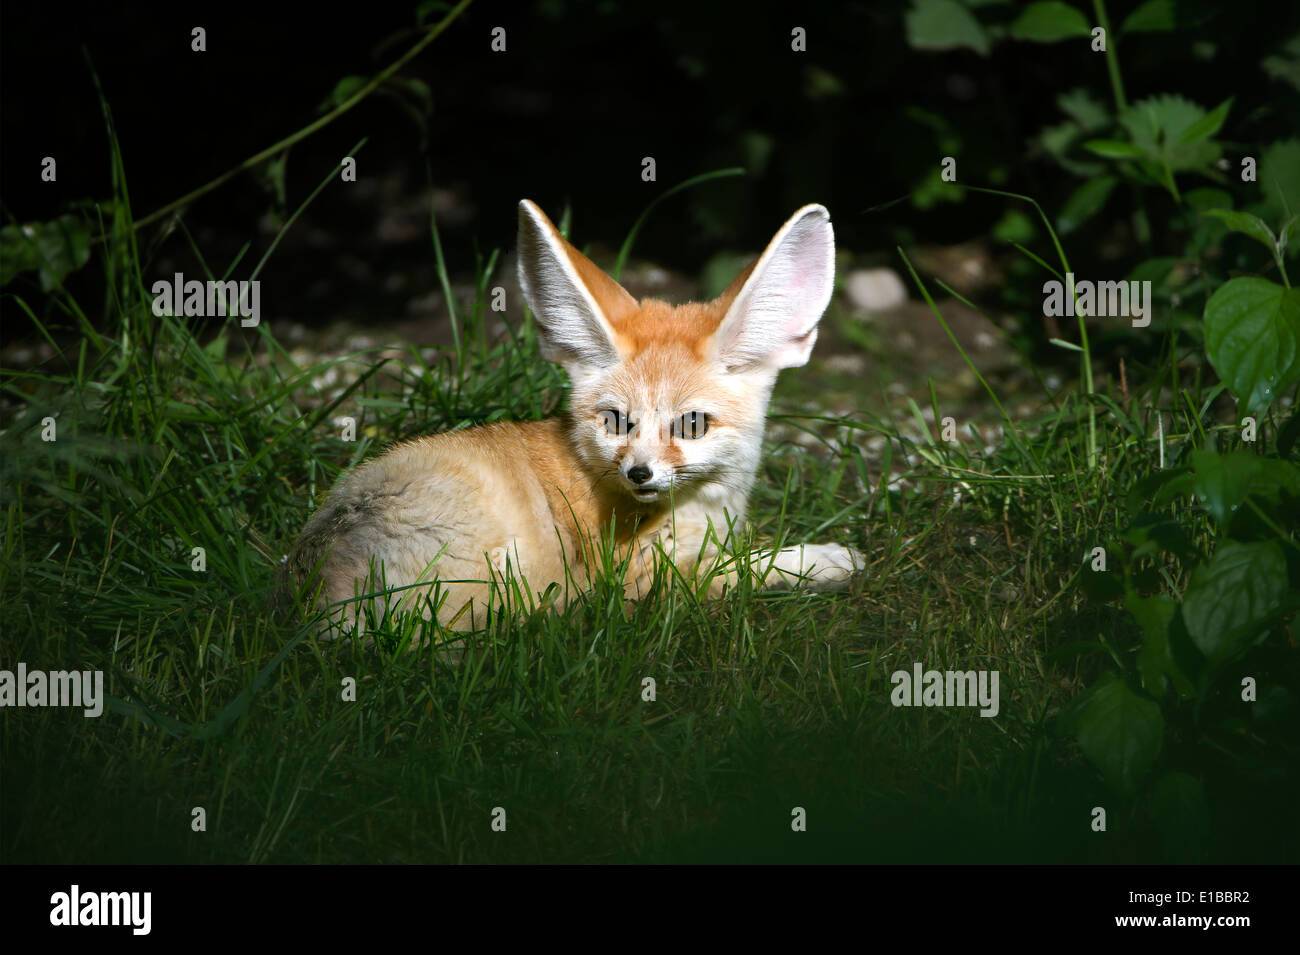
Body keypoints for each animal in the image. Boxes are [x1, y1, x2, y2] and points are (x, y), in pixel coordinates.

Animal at [289, 200, 868, 634]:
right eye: (616, 421)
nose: (639, 473)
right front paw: (823, 559)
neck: (704, 508)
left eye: (692, 424)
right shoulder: (646, 576)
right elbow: (744, 568)